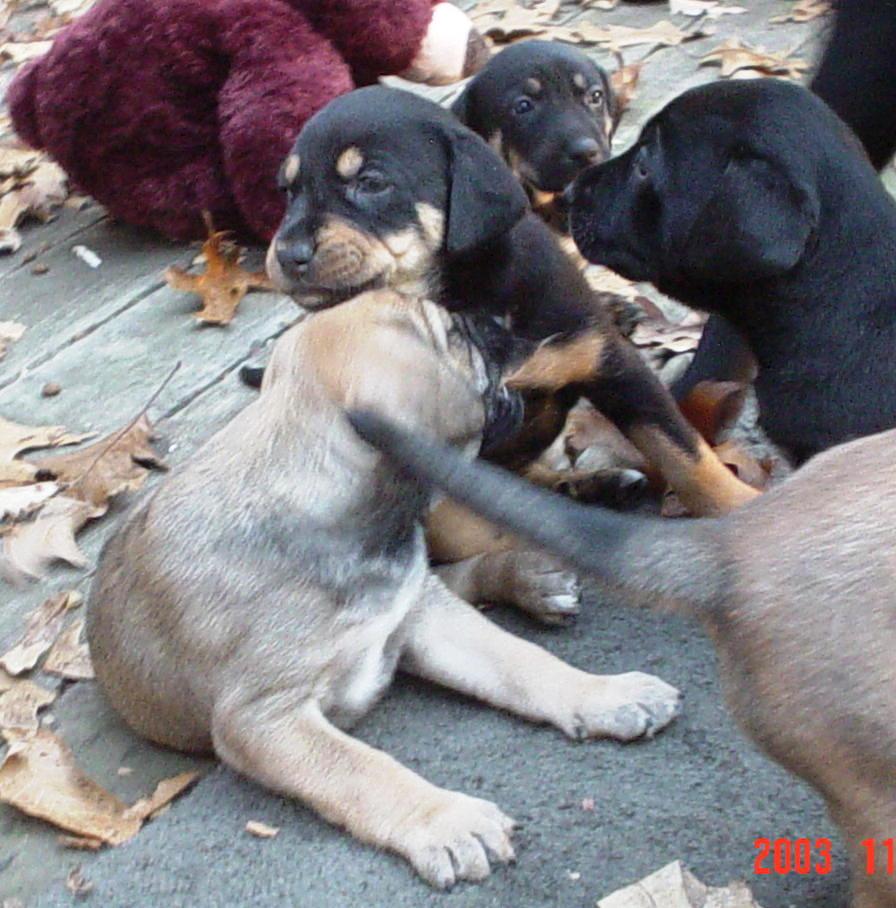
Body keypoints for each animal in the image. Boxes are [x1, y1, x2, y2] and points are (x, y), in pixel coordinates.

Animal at [89, 294, 680, 892]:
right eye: (452, 334)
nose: (497, 322)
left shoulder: (420, 614)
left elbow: (520, 660)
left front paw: (605, 694)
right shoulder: (263, 716)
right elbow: (360, 768)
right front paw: (448, 821)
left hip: (447, 529)